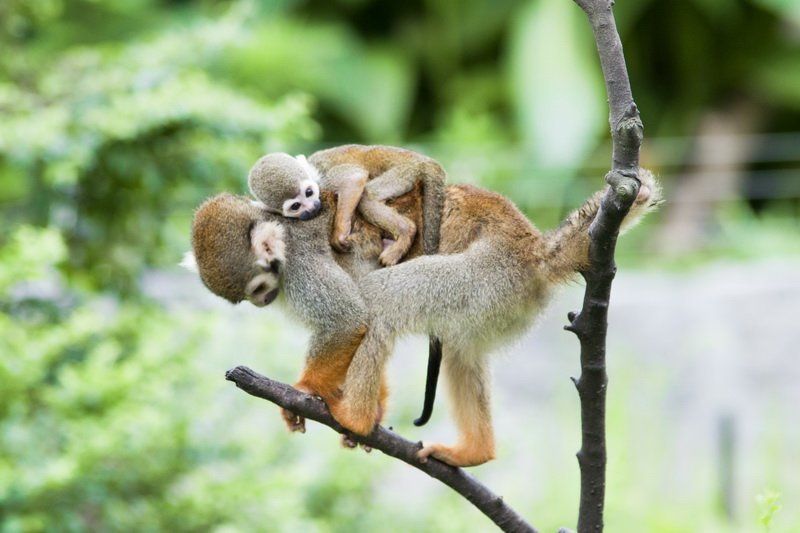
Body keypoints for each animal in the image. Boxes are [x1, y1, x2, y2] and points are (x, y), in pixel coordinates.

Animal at [188, 164, 661, 467]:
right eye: (246, 299)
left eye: (256, 289)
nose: (262, 302)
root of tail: (534, 250)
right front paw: (371, 407)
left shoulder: (303, 266)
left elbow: (350, 319)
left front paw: (306, 390)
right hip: (495, 297)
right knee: (458, 348)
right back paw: (475, 451)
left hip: (484, 274)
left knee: (381, 303)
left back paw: (354, 417)